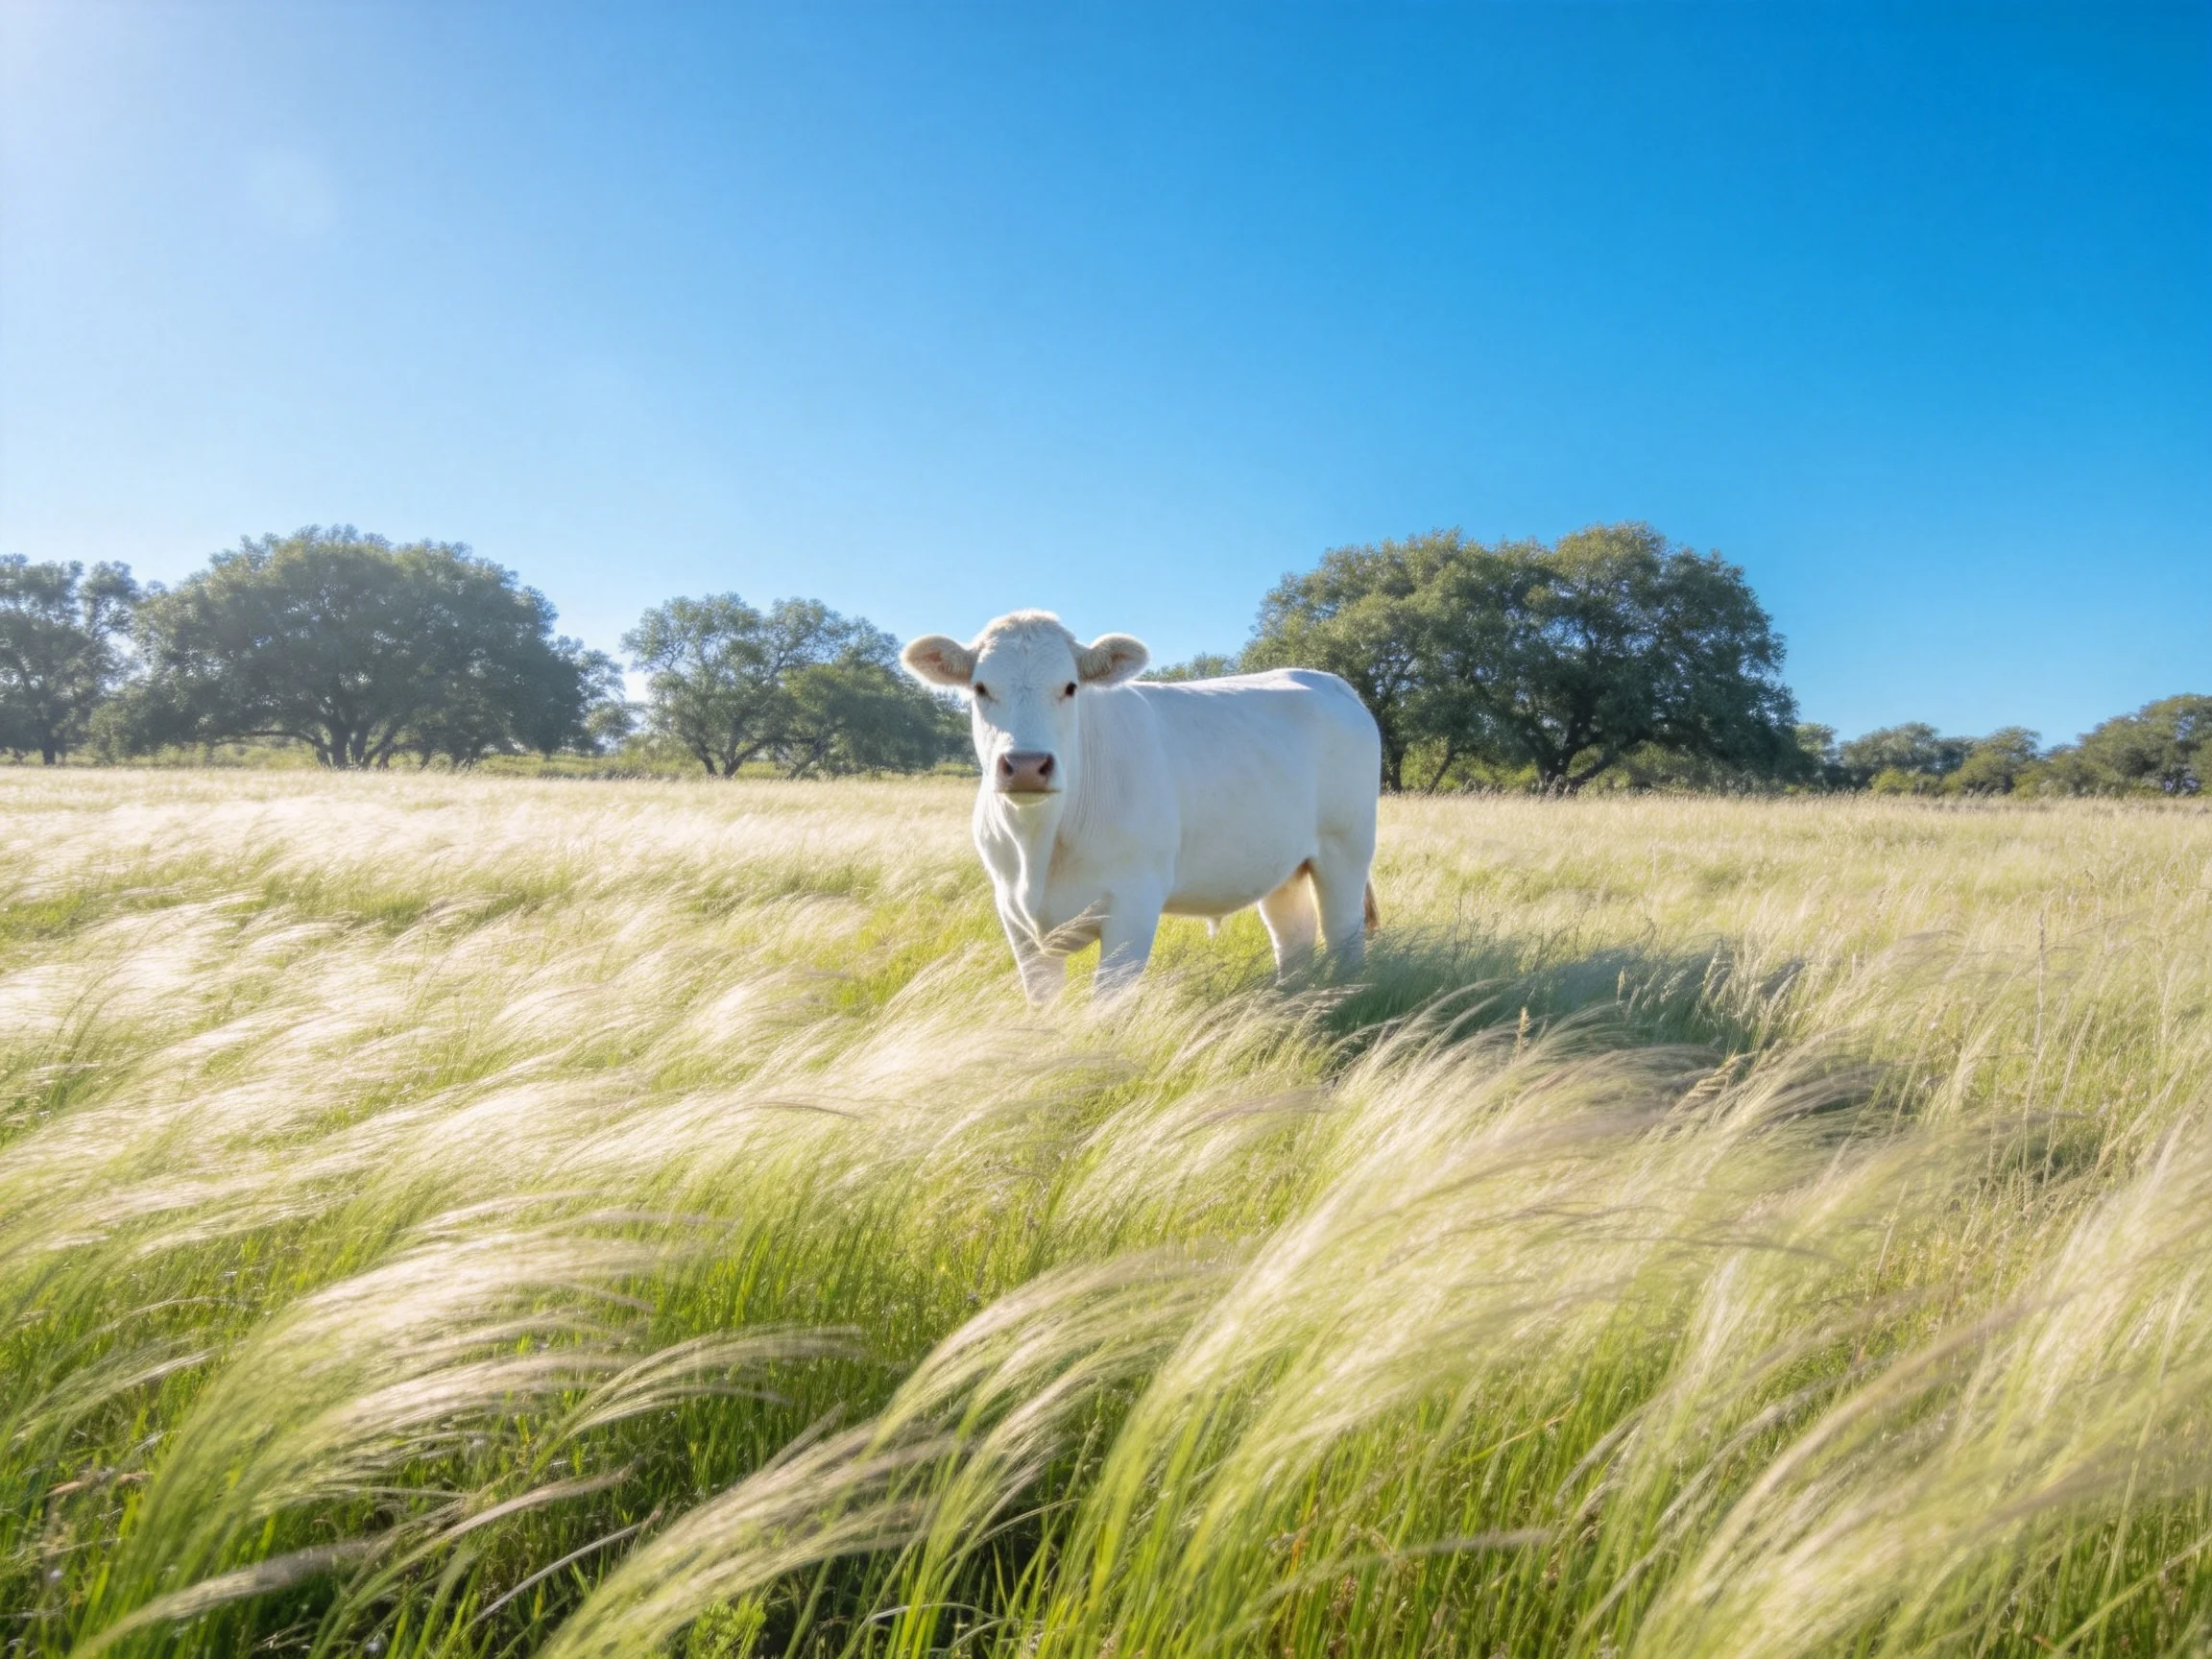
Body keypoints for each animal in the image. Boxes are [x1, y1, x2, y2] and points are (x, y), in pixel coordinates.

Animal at [900, 611, 1382, 1001]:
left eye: (1070, 687)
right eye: (981, 688)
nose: (1025, 765)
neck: (1037, 849)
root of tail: (1328, 680)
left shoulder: (1134, 903)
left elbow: (1107, 1003)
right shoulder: (1014, 916)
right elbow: (1042, 1002)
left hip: (1345, 851)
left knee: (1343, 936)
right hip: (1283, 864)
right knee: (1293, 938)